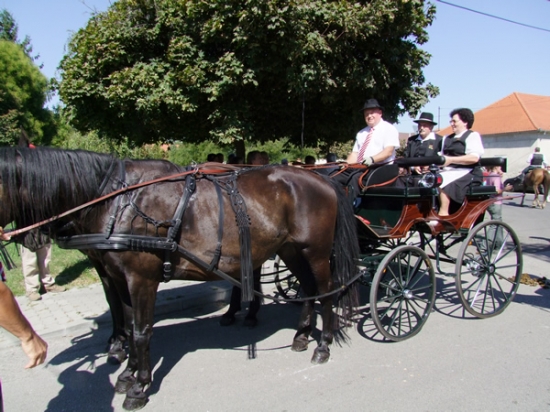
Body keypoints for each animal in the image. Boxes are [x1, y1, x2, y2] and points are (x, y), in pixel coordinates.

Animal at [0, 147, 359, 411]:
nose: (31, 240)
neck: (117, 201)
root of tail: (323, 180)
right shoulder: (118, 278)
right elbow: (127, 321)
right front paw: (127, 372)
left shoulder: (141, 279)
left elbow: (142, 331)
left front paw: (140, 386)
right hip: (290, 250)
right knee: (309, 290)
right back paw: (301, 335)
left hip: (314, 252)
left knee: (326, 293)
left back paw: (323, 345)